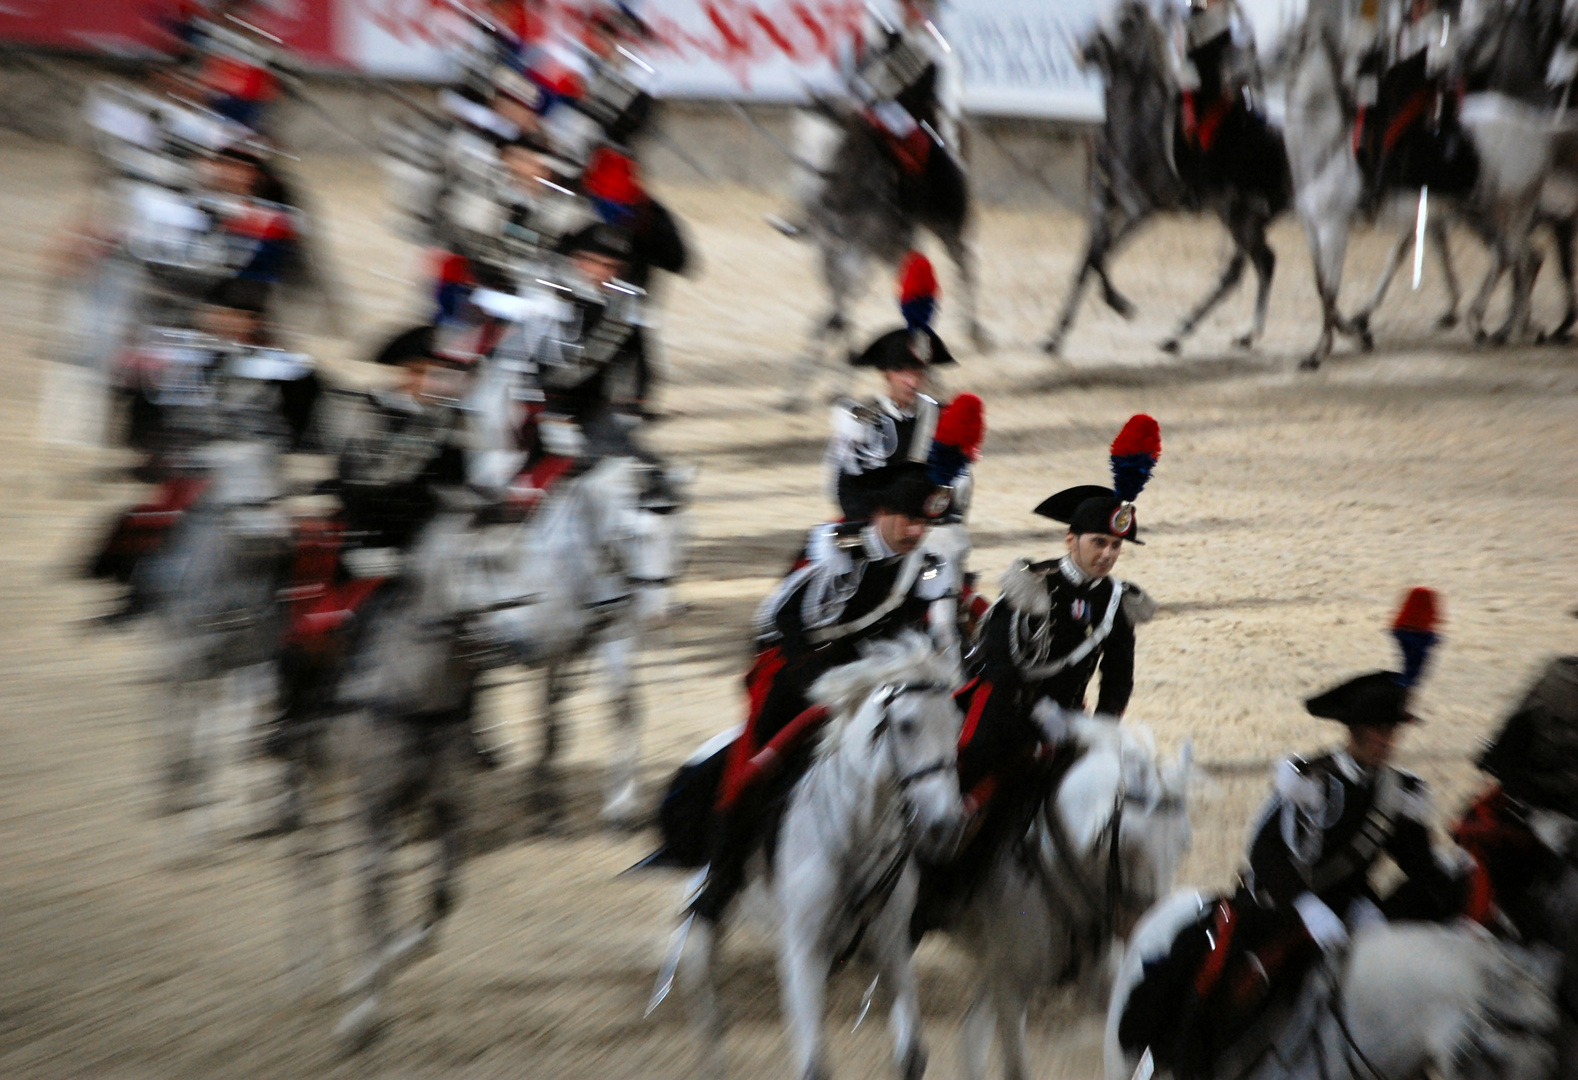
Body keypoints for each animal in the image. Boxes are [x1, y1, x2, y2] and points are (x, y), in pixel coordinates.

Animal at [675, 631, 965, 1080]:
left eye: (955, 723)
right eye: (906, 725)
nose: (947, 826)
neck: (856, 830)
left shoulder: (892, 945)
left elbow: (912, 1054)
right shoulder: (804, 950)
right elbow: (813, 1065)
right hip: (707, 921)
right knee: (706, 1004)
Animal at [946, 716, 1192, 1080]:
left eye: (1183, 844)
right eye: (1127, 845)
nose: (1145, 930)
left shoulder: (1096, 977)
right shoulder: (1010, 986)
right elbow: (1016, 1066)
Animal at [1041, 0, 1287, 358]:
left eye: (1129, 21)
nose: (1080, 50)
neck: (1134, 125)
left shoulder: (1141, 211)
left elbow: (1101, 256)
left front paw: (1122, 306)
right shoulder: (1103, 205)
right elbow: (1089, 260)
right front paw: (1054, 337)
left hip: (1239, 216)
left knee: (1252, 266)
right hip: (1245, 218)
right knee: (1258, 264)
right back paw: (1219, 336)